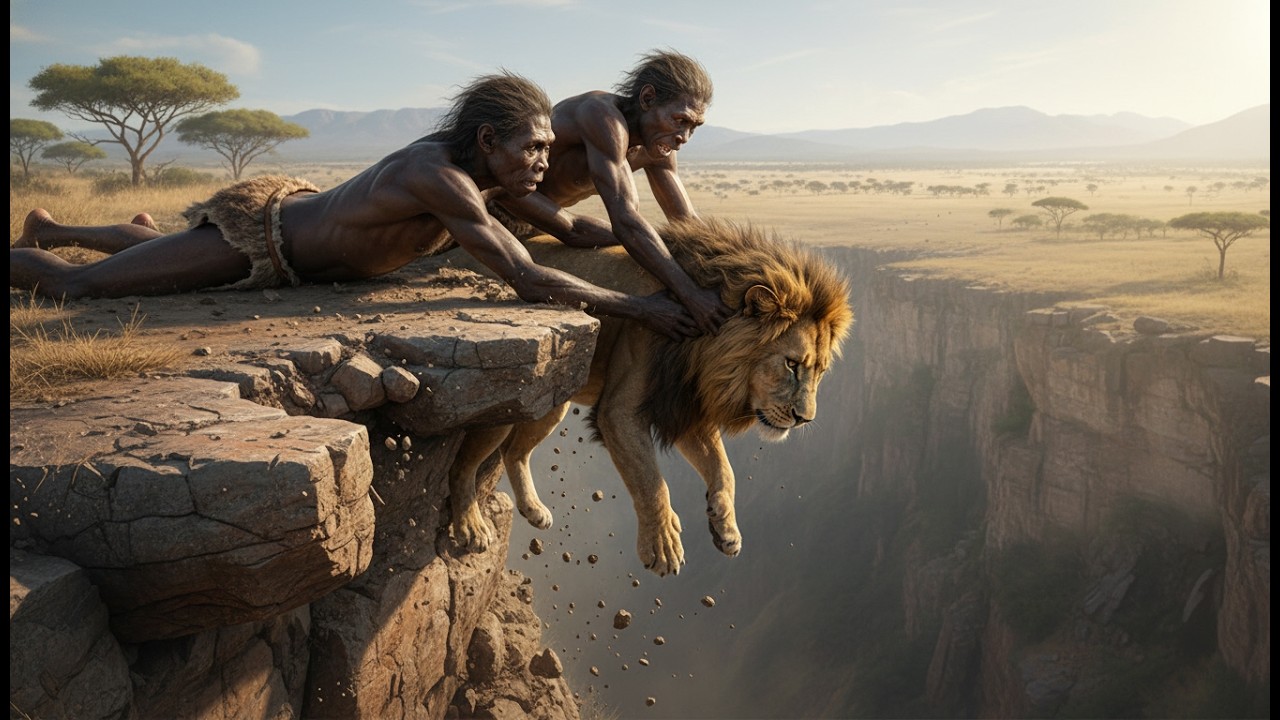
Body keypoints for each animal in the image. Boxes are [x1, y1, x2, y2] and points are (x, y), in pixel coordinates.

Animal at [445, 217, 854, 576]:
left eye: (820, 371)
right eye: (791, 364)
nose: (805, 419)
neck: (705, 354)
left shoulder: (686, 408)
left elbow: (724, 469)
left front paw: (726, 527)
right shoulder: (620, 411)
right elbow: (650, 482)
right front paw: (663, 546)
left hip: (551, 402)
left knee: (514, 452)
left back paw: (533, 509)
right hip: (507, 395)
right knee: (463, 465)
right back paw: (471, 527)